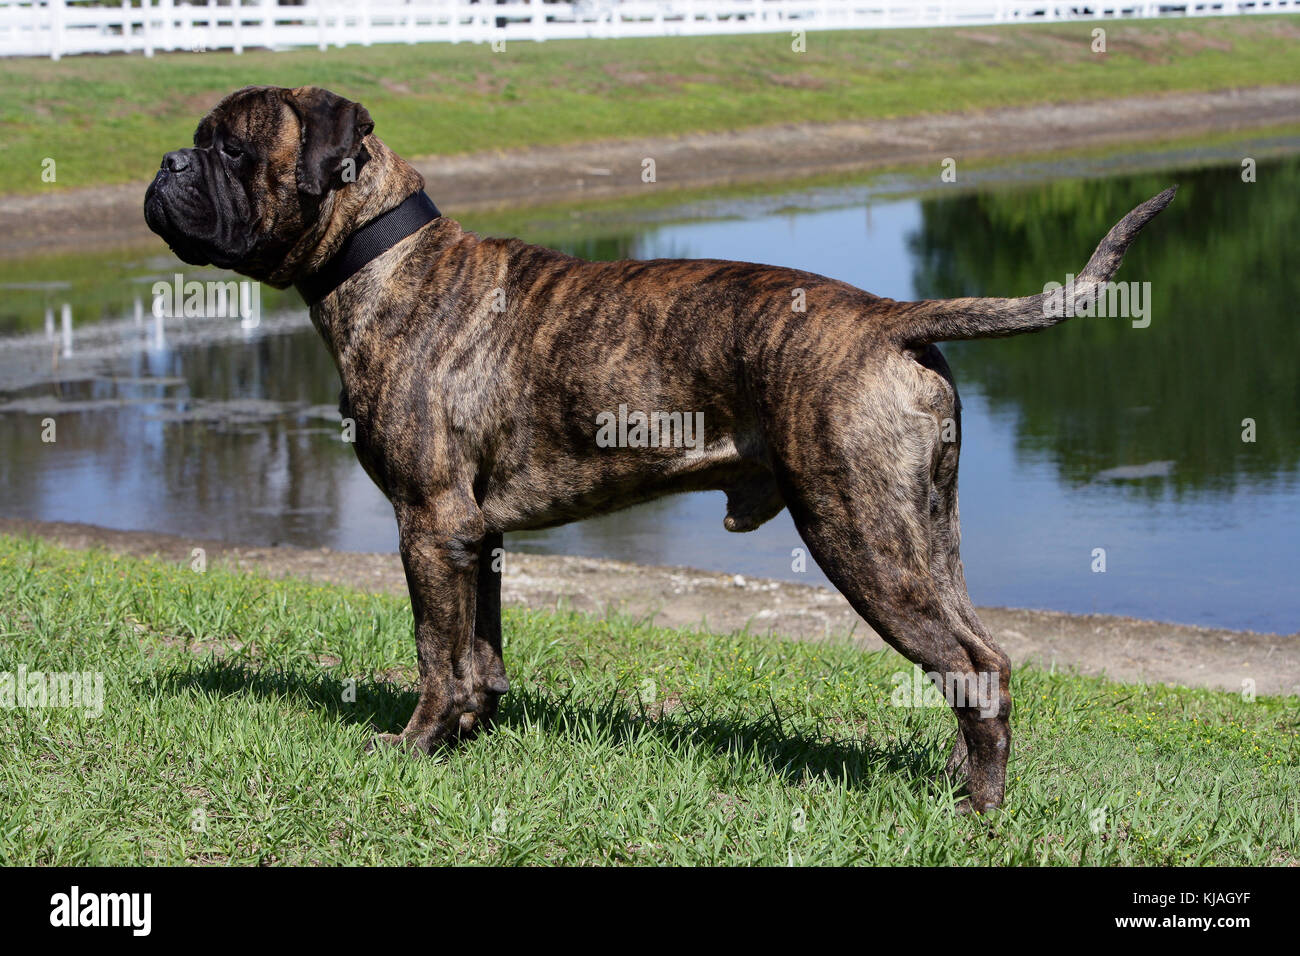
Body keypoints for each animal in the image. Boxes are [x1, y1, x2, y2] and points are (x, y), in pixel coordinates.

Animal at [144, 85, 1180, 811]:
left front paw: (416, 746)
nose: (165, 161)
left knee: (980, 668)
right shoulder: (476, 538)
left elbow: (437, 651)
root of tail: (891, 316)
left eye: (229, 147)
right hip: (924, 537)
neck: (381, 256)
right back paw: (963, 788)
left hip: (863, 538)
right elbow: (481, 654)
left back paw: (979, 812)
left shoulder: (429, 526)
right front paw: (468, 739)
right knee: (972, 660)